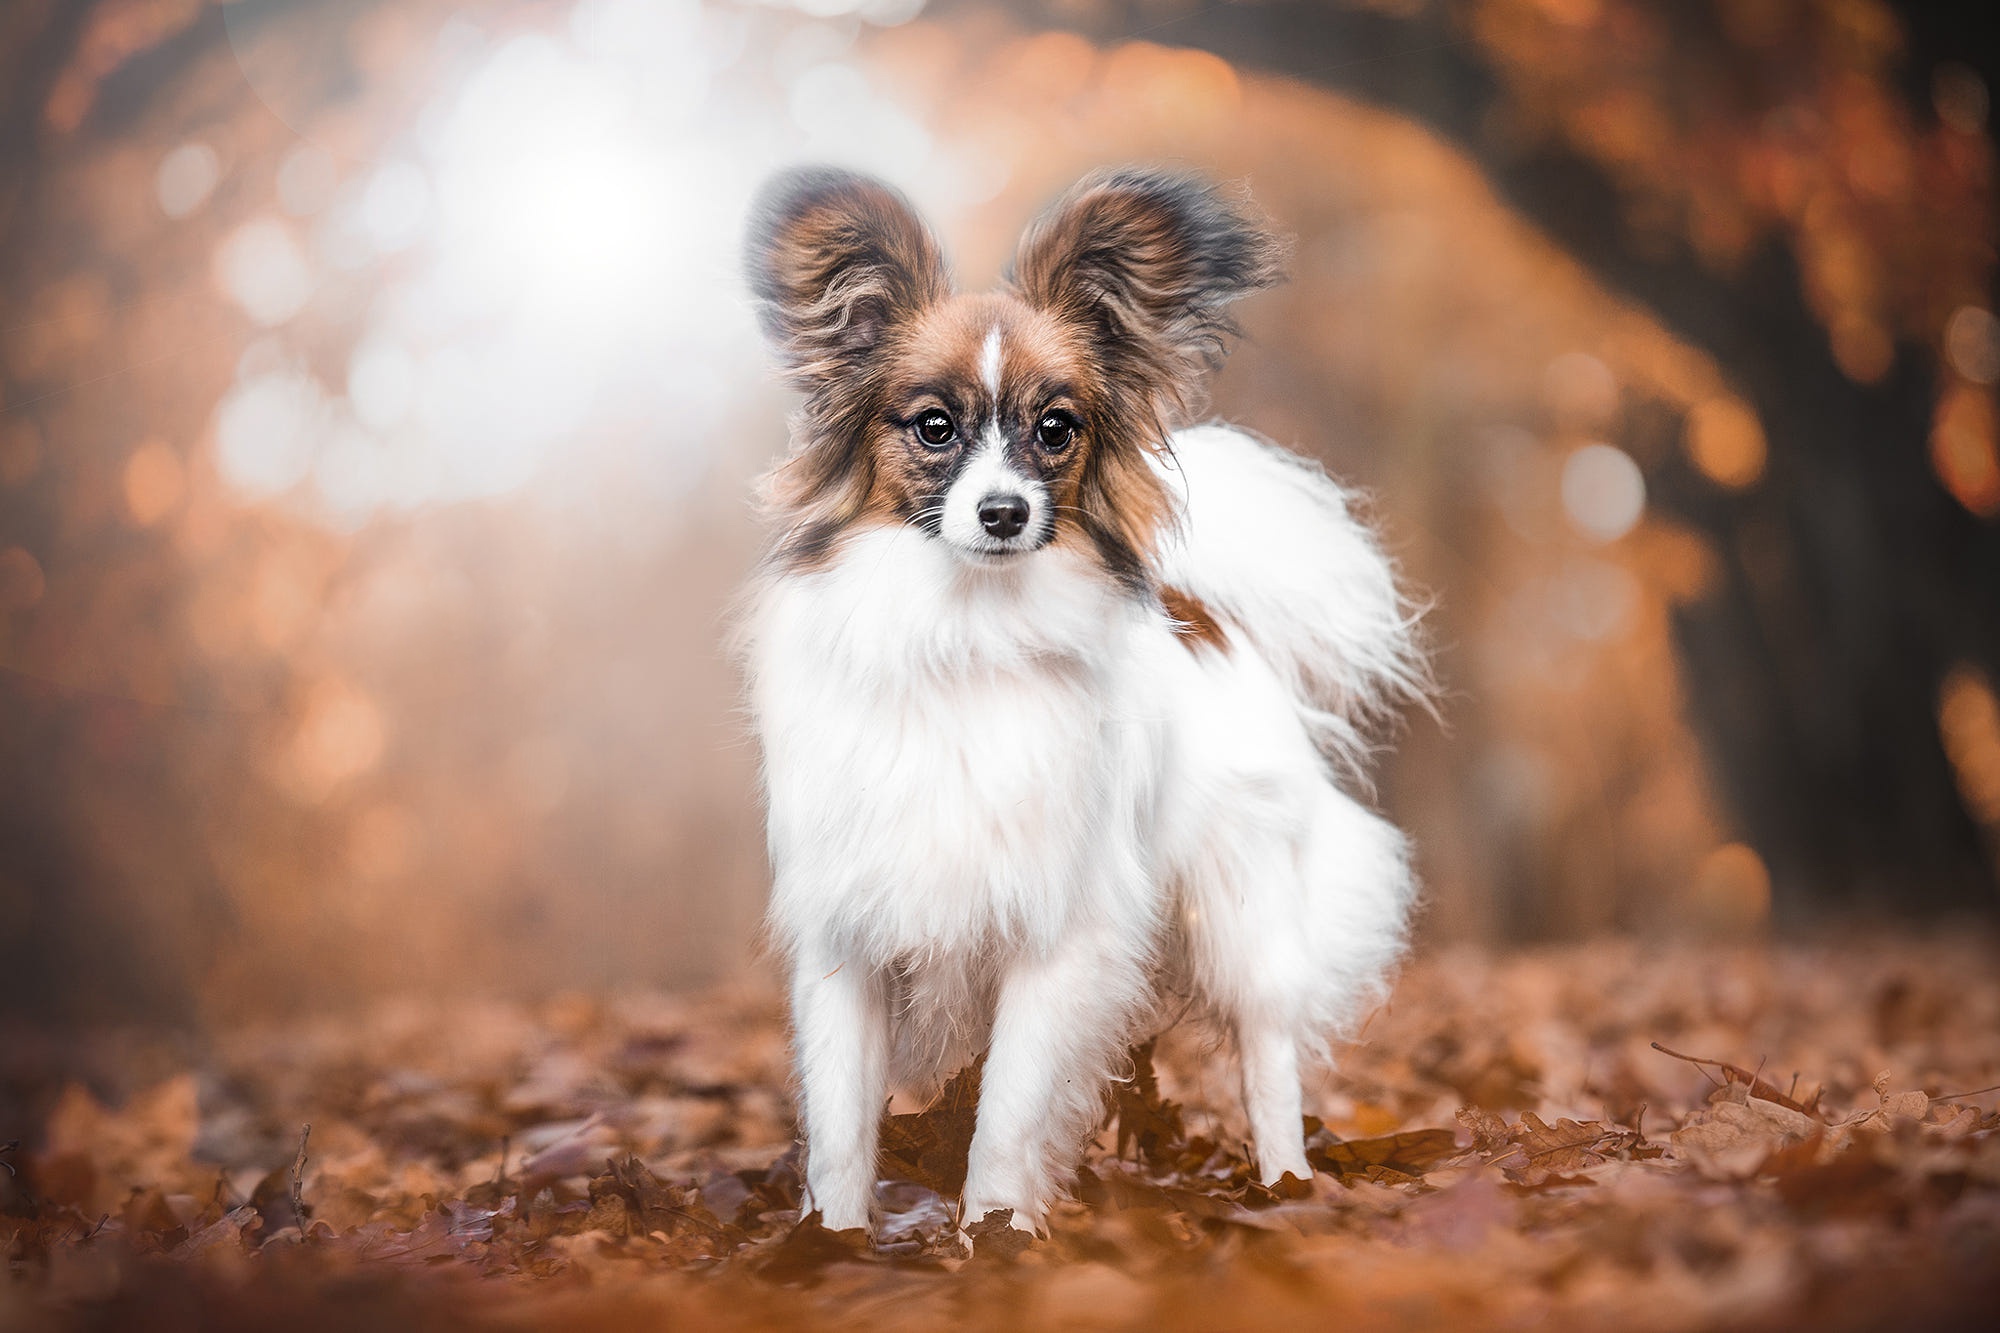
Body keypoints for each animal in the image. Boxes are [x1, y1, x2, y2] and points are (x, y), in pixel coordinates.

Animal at [744, 169, 1432, 1232]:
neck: (966, 632)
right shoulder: (847, 935)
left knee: (1268, 1047)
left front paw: (996, 1239)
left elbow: (1007, 1115)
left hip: (1241, 903)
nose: (1004, 512)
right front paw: (833, 1244)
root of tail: (1207, 609)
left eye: (1055, 428)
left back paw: (1284, 1186)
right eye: (934, 426)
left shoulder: (1060, 933)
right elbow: (841, 1129)